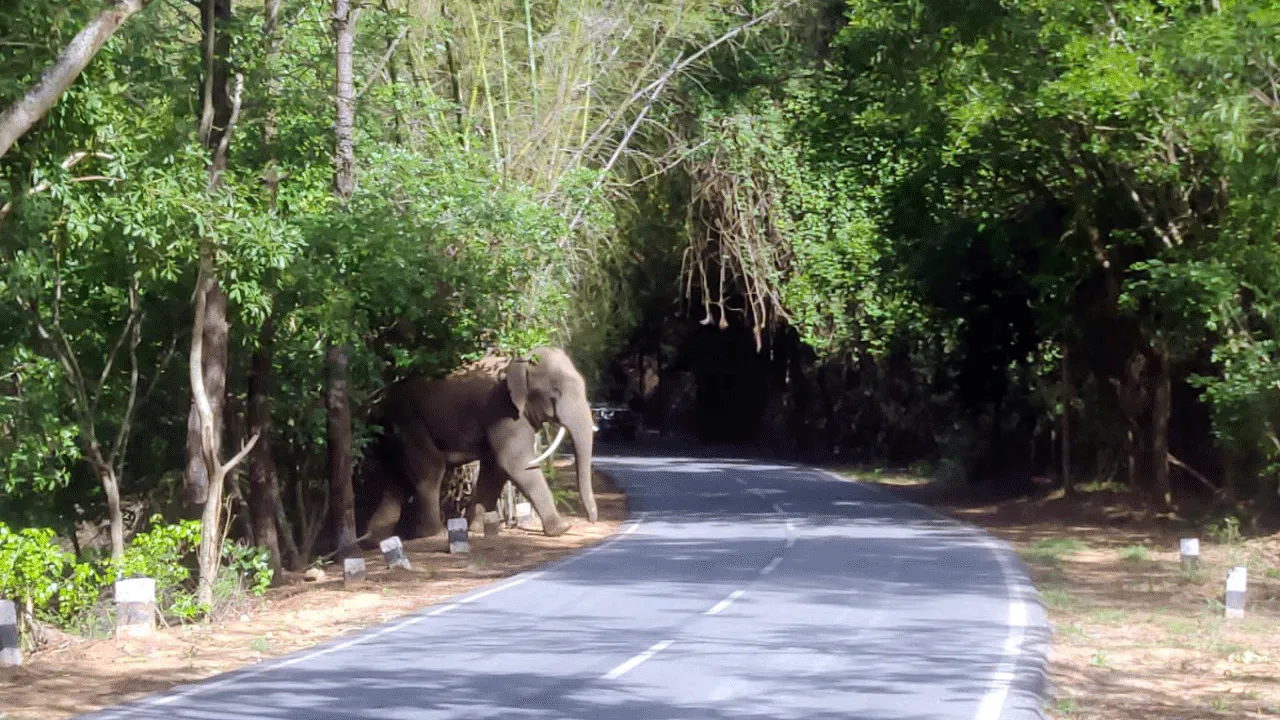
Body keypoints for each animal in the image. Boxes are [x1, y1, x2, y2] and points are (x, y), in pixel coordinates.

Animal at [358, 345, 596, 540]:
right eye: (556, 391)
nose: (591, 520)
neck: (520, 360)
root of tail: (378, 404)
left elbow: (496, 468)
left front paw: (477, 529)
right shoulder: (502, 410)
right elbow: (514, 462)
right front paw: (562, 529)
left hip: (394, 434)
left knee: (398, 481)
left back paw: (375, 540)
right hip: (408, 423)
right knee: (430, 470)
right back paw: (433, 535)